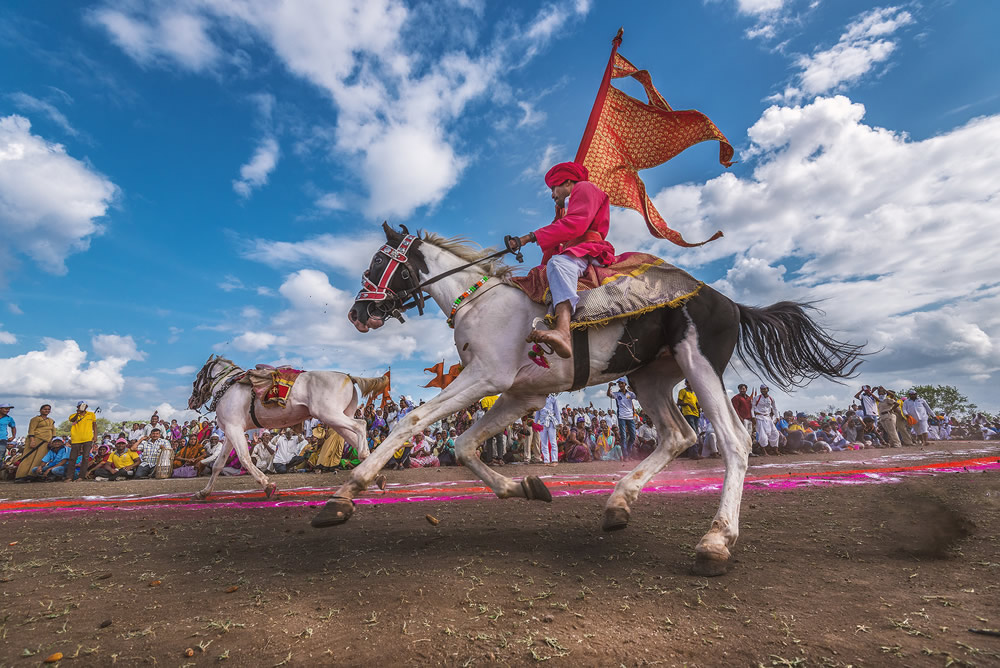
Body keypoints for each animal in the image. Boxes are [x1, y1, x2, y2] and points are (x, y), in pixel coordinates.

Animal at [188, 354, 390, 500]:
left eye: (197, 377)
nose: (192, 401)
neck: (228, 387)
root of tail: (348, 377)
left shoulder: (234, 428)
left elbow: (244, 458)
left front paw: (267, 485)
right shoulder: (231, 432)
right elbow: (218, 464)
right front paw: (204, 493)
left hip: (330, 414)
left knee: (361, 425)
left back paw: (364, 456)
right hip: (337, 419)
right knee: (355, 436)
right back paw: (373, 473)